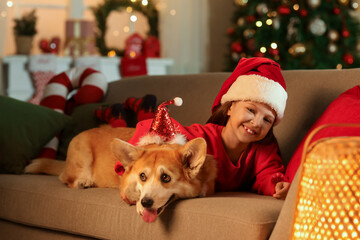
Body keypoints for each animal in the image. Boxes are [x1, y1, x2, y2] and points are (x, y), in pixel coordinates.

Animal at [26, 125, 217, 223]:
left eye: (166, 177)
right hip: (82, 157)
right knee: (67, 178)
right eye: (142, 176)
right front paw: (139, 204)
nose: (146, 202)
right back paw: (84, 181)